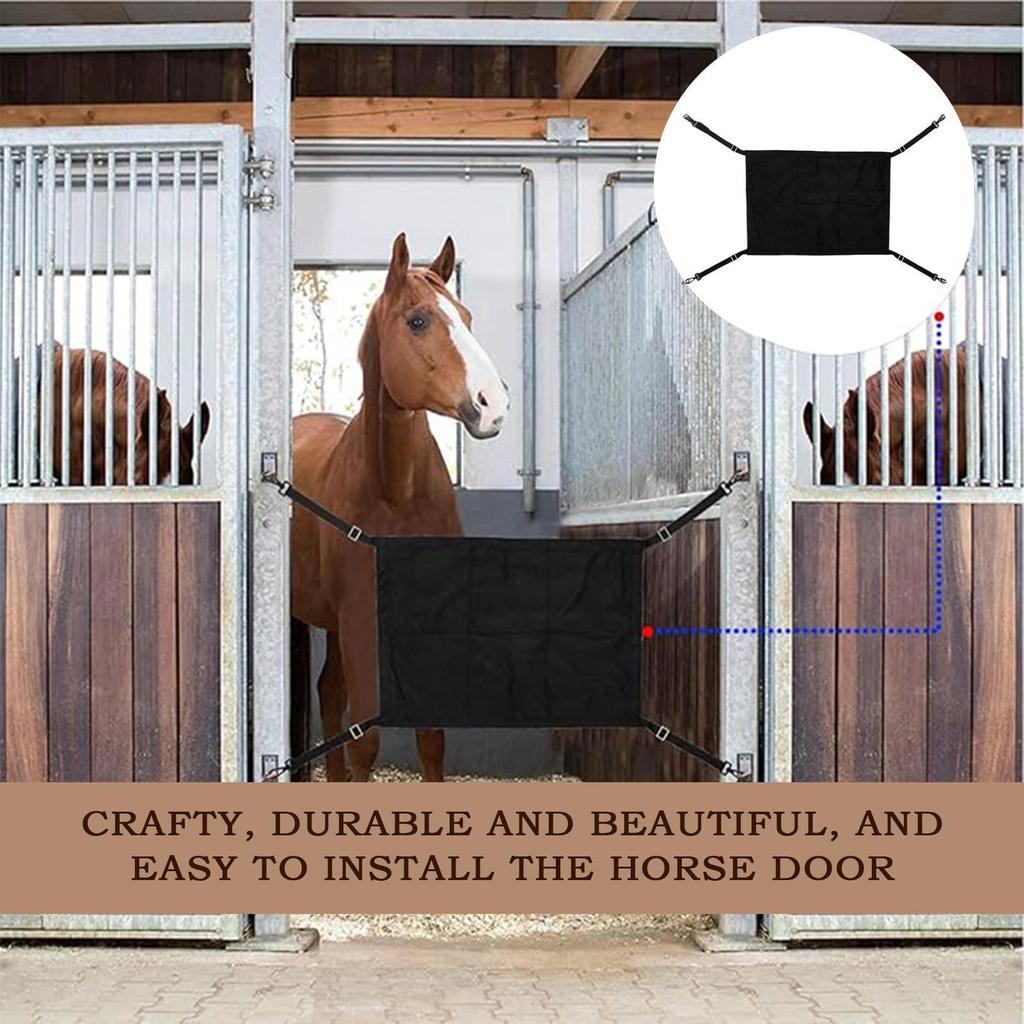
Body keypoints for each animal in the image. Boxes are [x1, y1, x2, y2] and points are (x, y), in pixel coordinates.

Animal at [289, 233, 509, 782]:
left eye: (466, 316)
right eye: (418, 321)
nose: (494, 403)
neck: (397, 494)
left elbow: (431, 738)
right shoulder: (360, 621)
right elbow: (366, 741)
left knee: (329, 693)